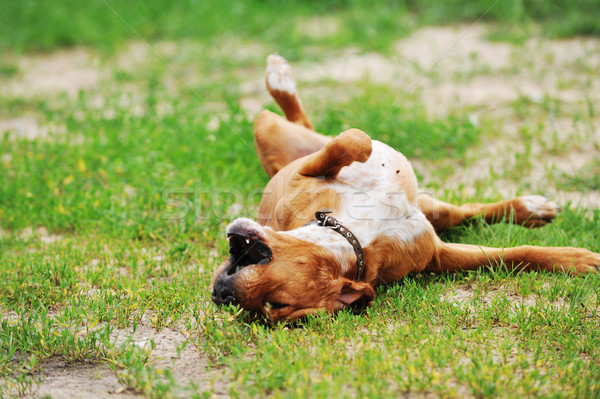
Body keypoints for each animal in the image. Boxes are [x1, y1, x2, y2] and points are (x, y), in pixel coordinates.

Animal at [211, 54, 600, 322]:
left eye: (276, 301)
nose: (221, 293)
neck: (351, 236)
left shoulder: (311, 173)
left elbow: (354, 140)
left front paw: (574, 260)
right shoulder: (440, 256)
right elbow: (508, 256)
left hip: (283, 134)